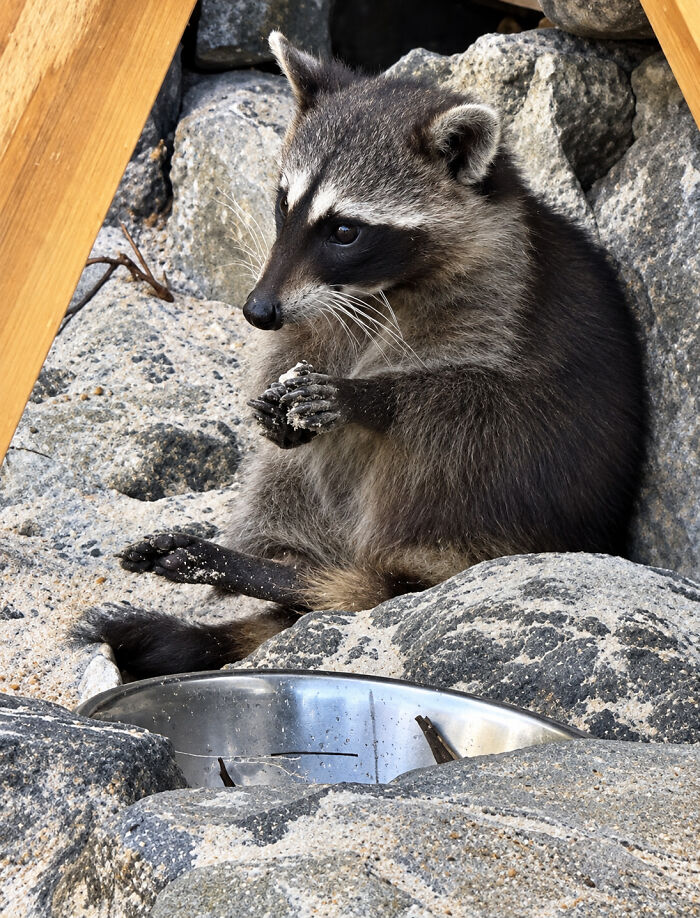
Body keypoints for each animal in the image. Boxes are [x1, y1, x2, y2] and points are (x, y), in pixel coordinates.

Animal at [76, 32, 645, 677]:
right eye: (283, 203)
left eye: (344, 230)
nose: (255, 310)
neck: (377, 288)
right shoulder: (308, 307)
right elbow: (294, 354)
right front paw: (277, 399)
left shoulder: (505, 299)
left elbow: (471, 393)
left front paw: (366, 395)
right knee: (286, 478)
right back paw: (266, 563)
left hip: (501, 500)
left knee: (455, 442)